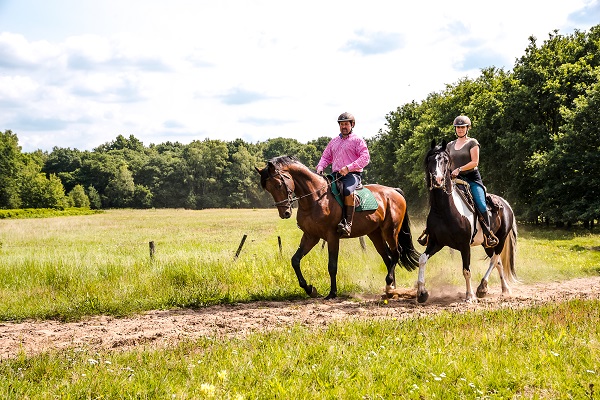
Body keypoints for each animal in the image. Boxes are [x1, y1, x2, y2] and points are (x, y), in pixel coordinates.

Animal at [256, 155, 420, 300]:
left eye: (279, 185)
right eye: (268, 189)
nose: (285, 213)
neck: (315, 199)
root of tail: (394, 191)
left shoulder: (332, 237)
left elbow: (332, 265)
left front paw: (332, 293)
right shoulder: (311, 236)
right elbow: (295, 260)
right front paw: (310, 289)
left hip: (390, 231)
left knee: (396, 253)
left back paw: (389, 284)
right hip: (375, 234)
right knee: (388, 258)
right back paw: (391, 290)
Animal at [417, 139, 518, 303]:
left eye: (445, 160)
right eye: (430, 159)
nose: (438, 180)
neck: (444, 211)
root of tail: (506, 204)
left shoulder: (464, 245)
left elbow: (466, 270)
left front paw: (469, 296)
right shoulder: (435, 242)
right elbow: (422, 259)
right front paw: (421, 292)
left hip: (500, 239)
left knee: (494, 260)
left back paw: (482, 287)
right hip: (487, 244)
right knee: (498, 262)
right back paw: (504, 289)